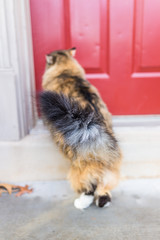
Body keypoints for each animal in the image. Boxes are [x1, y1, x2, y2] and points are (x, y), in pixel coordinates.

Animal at [39, 47, 122, 209]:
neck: (66, 72)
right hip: (110, 171)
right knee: (104, 190)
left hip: (80, 168)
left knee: (89, 187)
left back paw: (81, 203)